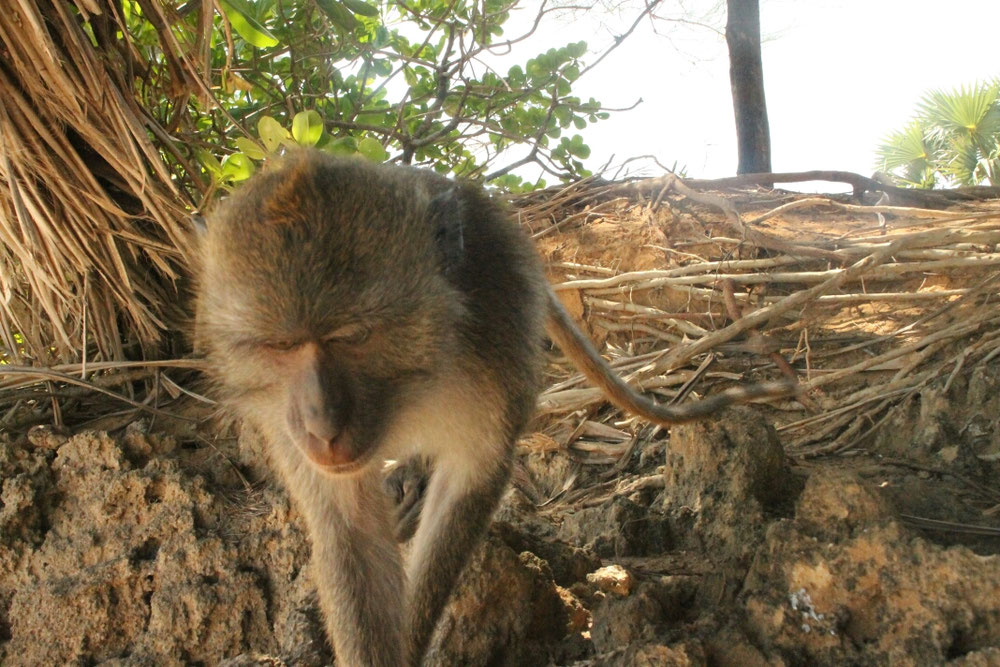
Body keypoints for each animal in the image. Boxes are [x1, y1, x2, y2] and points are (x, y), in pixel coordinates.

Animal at [193, 149, 794, 666]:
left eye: (353, 337)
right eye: (279, 347)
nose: (321, 425)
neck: (414, 385)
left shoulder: (493, 347)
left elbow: (472, 477)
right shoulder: (283, 421)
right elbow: (349, 528)